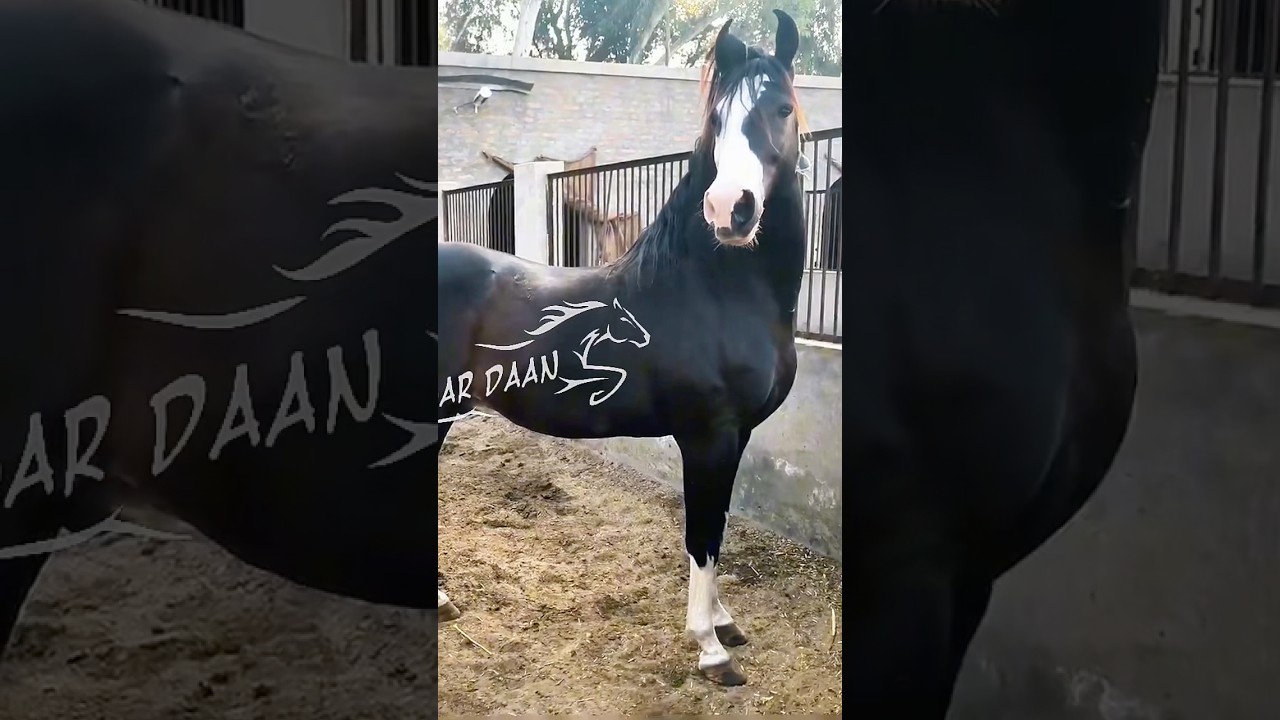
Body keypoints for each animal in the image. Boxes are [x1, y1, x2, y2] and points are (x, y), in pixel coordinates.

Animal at [436, 11, 808, 686]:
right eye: (717, 117)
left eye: (782, 108)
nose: (730, 209)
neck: (713, 290)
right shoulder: (707, 435)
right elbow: (701, 533)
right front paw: (710, 648)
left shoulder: (736, 435)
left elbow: (718, 526)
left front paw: (725, 624)